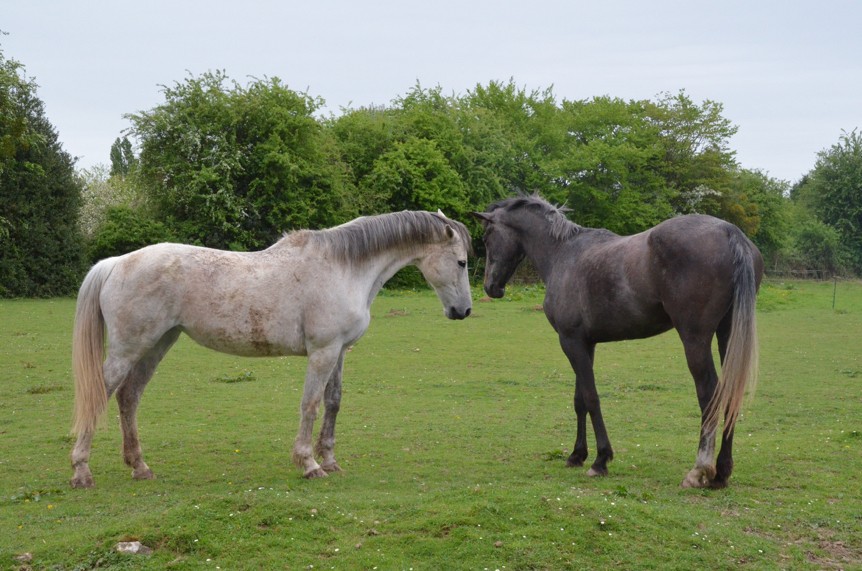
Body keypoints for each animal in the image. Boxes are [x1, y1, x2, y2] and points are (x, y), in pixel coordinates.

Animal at [69, 210, 472, 488]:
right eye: (462, 261)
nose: (463, 311)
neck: (343, 268)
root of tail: (116, 263)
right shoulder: (322, 352)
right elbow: (310, 404)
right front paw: (309, 464)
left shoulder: (339, 351)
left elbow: (333, 402)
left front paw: (330, 460)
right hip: (128, 349)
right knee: (101, 395)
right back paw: (81, 472)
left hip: (156, 345)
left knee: (129, 397)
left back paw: (140, 467)